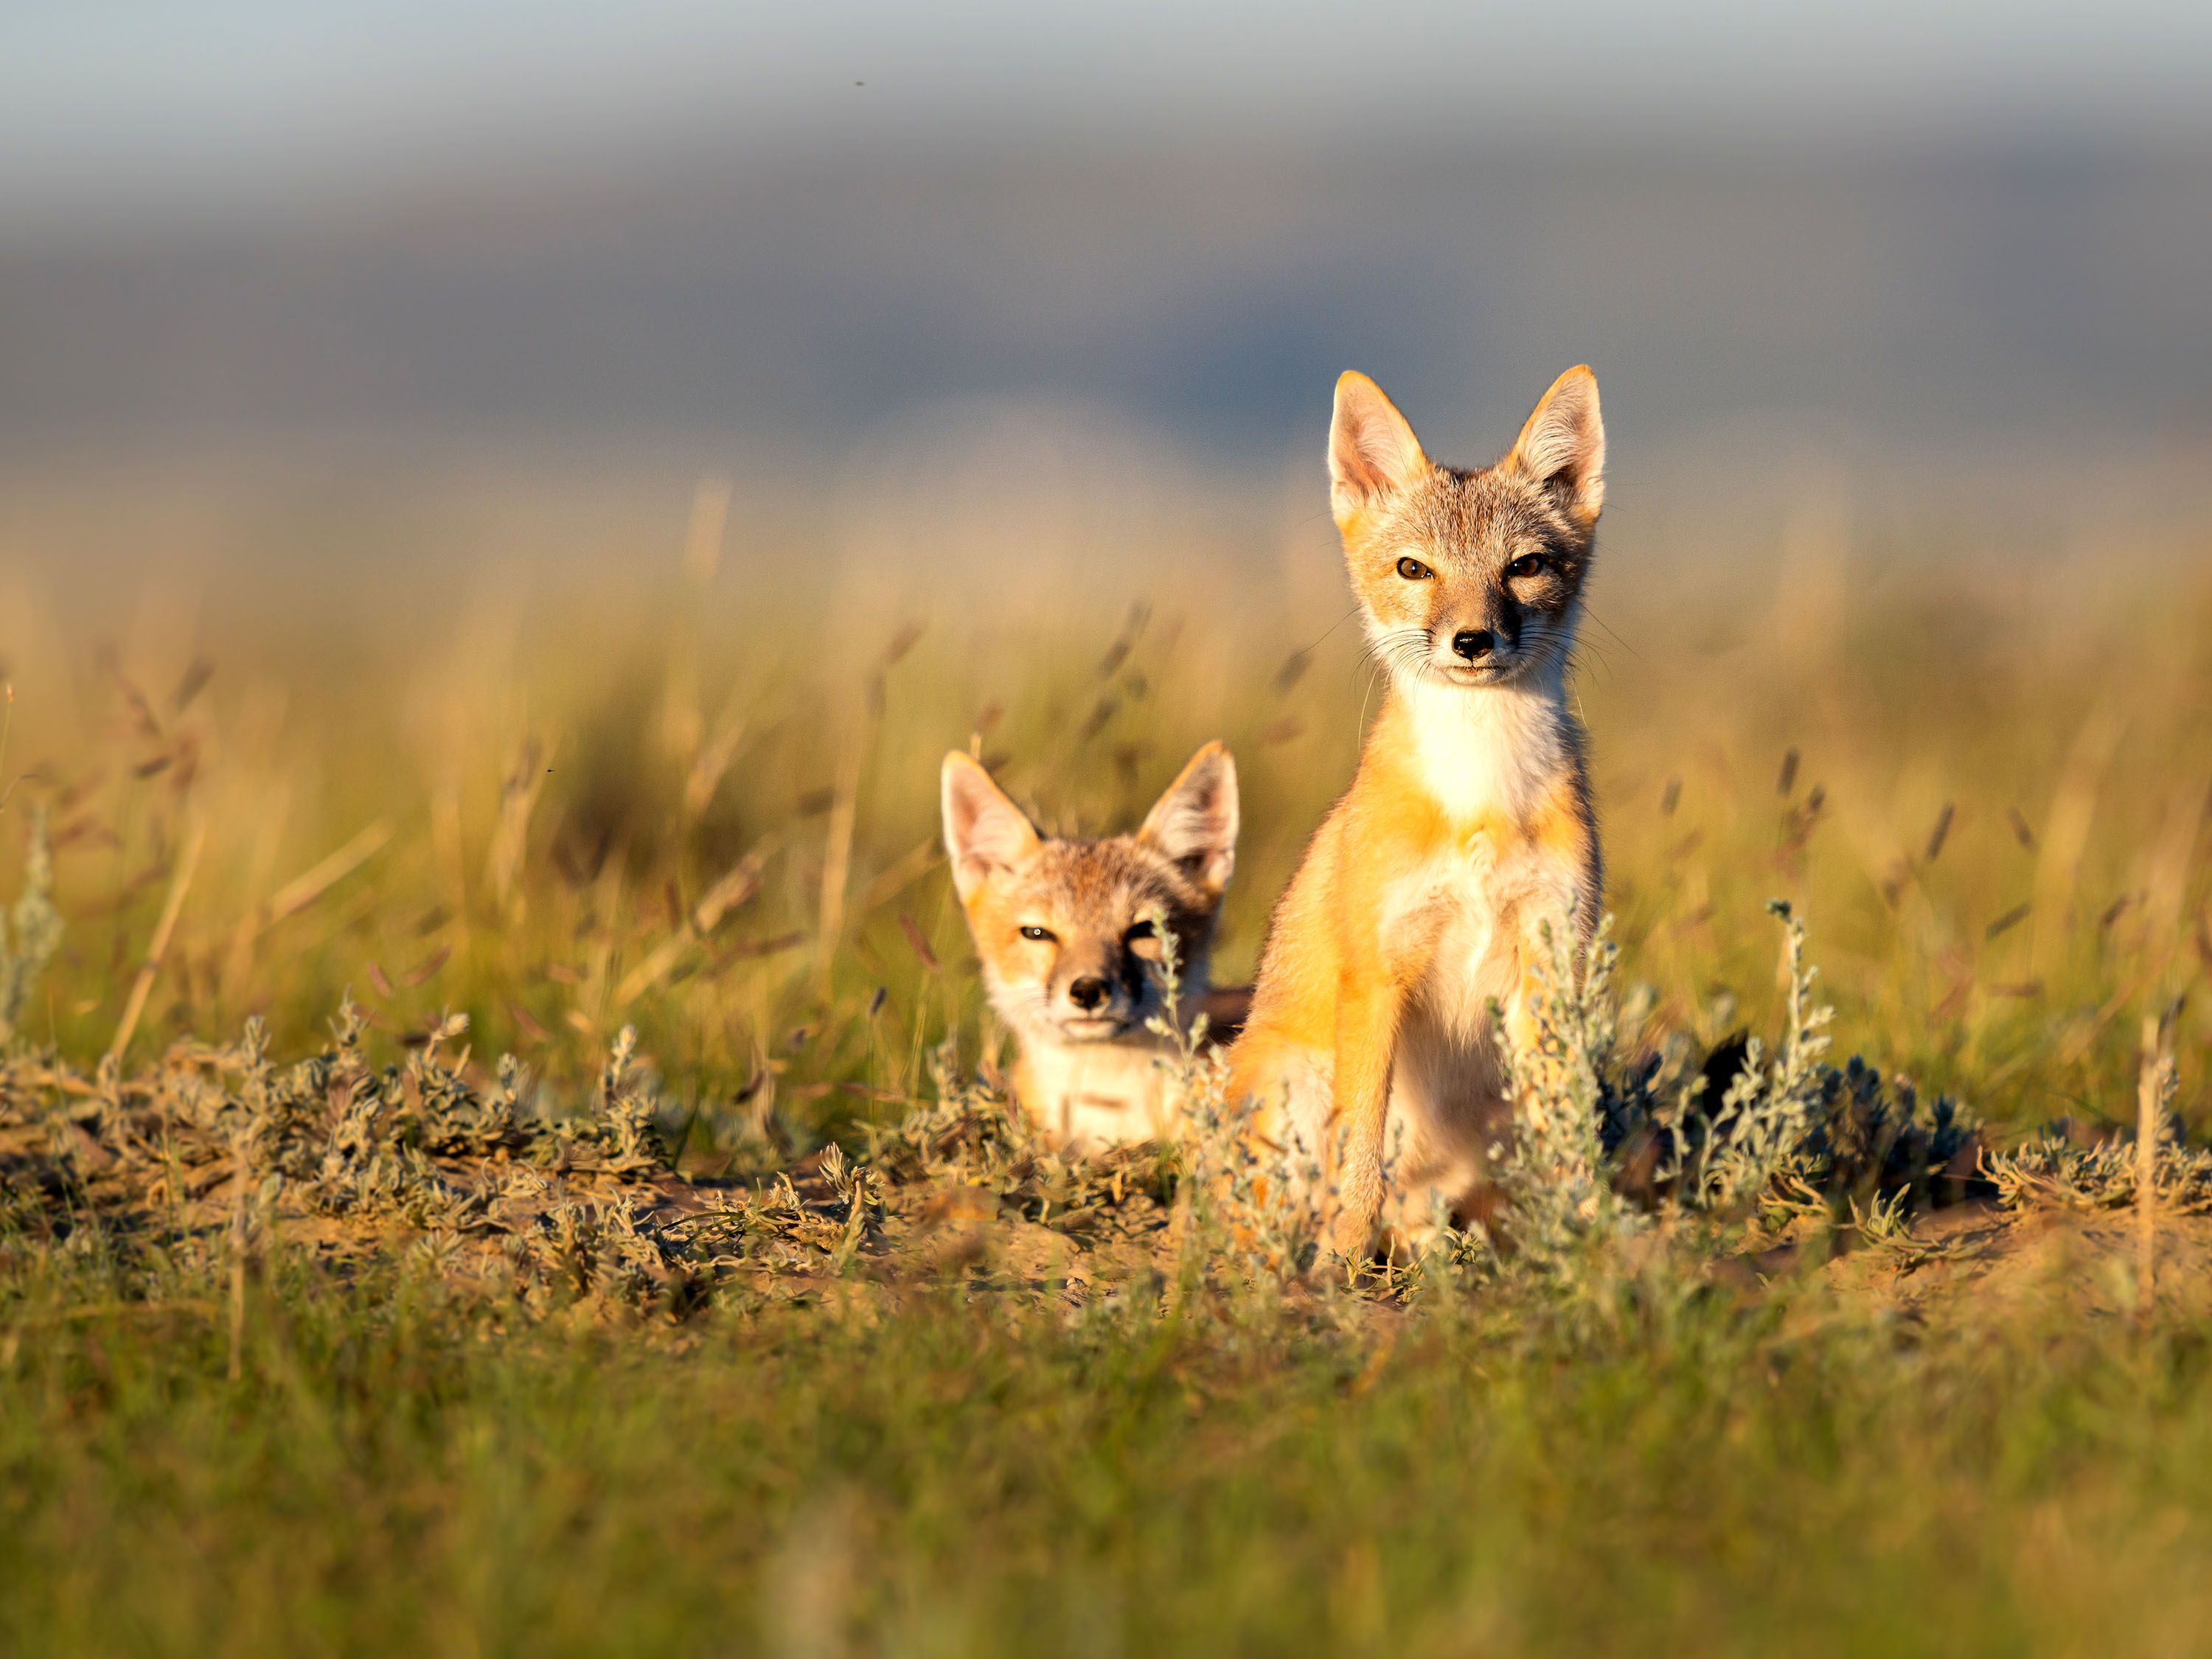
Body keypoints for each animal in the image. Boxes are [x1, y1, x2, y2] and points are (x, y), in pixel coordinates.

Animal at [1227, 365, 1607, 1260]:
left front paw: (1591, 1243)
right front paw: (1342, 1261)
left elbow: (1572, 1147)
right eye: (1415, 569)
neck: (1481, 800)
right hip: (1293, 1083)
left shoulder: (1551, 962)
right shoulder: (1380, 972)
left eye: (1525, 566)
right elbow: (1359, 1159)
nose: (1472, 641)